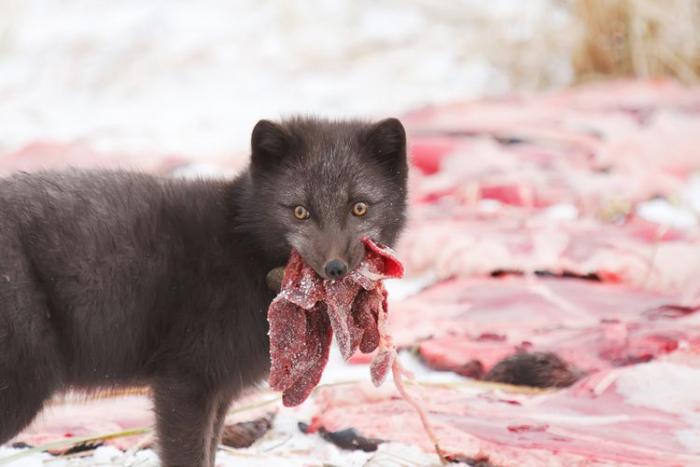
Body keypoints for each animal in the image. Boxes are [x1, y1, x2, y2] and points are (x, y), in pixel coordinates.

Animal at [0, 118, 410, 467]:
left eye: (359, 207)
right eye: (299, 211)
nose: (335, 268)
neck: (243, 247)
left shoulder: (221, 390)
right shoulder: (185, 382)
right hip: (24, 384)